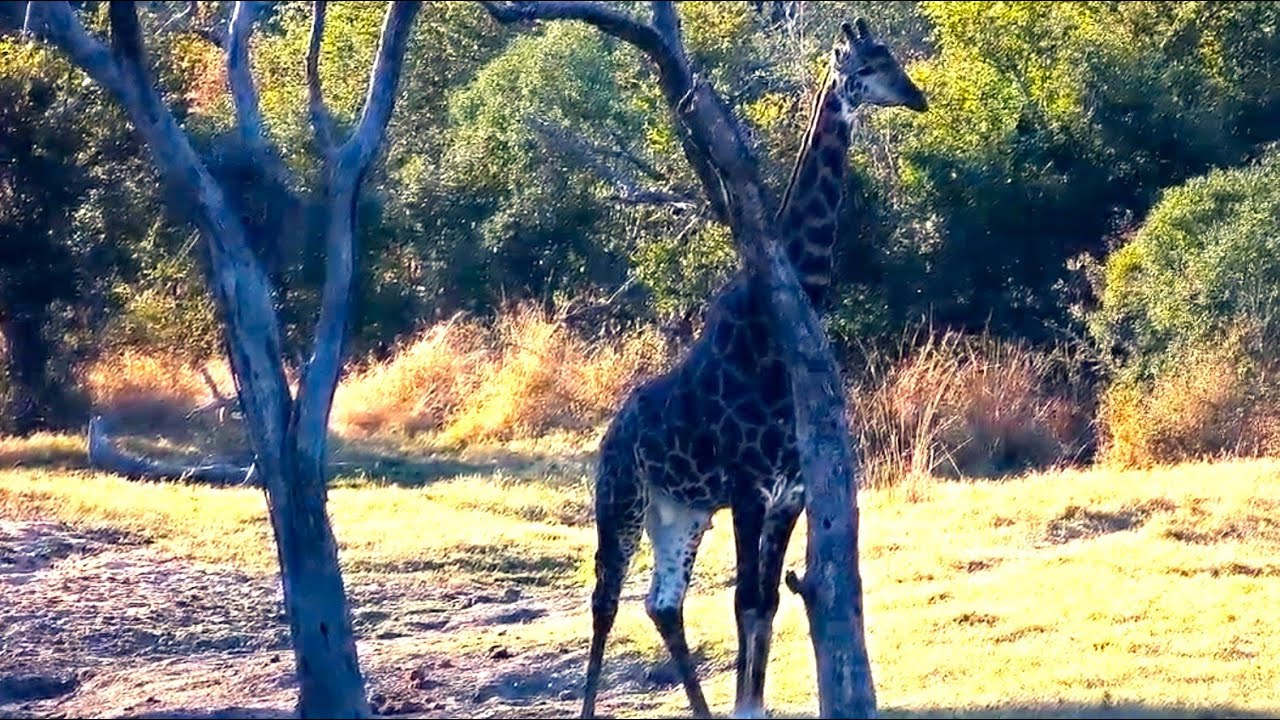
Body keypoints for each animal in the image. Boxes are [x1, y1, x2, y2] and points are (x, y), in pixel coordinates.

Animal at [581, 18, 927, 719]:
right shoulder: (748, 488)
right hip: (622, 497)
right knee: (605, 596)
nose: (918, 97)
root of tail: (610, 433)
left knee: (663, 603)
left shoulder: (789, 494)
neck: (770, 344)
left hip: (680, 511)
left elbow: (764, 606)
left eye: (893, 60)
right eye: (868, 65)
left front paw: (749, 705)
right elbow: (745, 601)